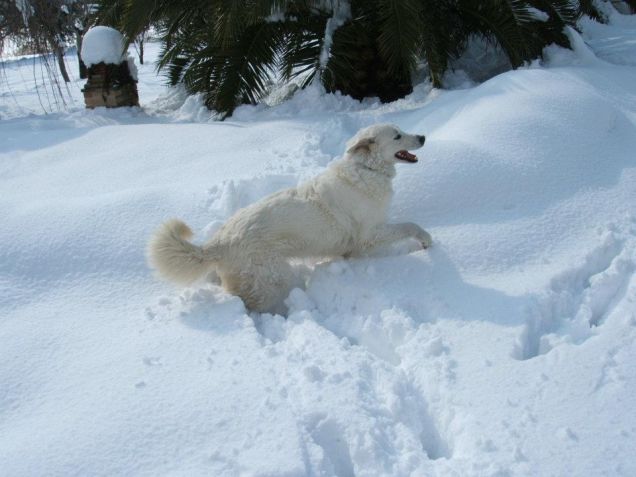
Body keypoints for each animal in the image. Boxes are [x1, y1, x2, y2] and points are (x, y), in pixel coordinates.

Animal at [148, 124, 432, 312]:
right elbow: (410, 225)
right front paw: (425, 241)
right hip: (275, 278)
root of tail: (217, 243)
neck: (366, 169)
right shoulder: (368, 236)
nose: (423, 136)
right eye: (397, 136)